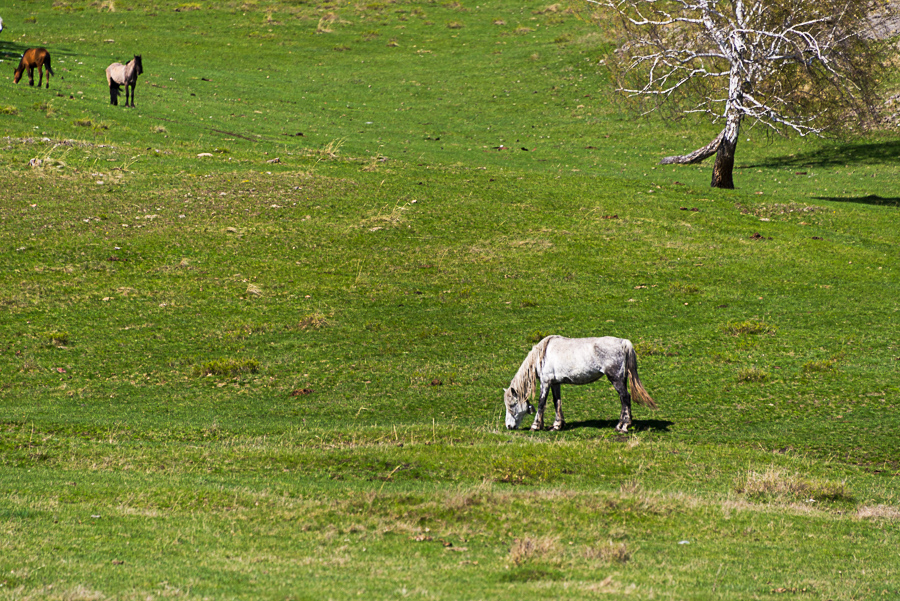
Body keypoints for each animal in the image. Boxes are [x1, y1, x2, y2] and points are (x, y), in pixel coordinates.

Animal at [502, 336, 656, 434]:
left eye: (512, 405)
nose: (509, 426)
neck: (542, 354)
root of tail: (623, 342)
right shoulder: (555, 383)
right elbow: (557, 402)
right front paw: (557, 425)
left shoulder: (545, 383)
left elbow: (541, 403)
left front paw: (535, 426)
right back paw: (620, 425)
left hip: (615, 379)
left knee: (625, 398)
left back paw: (623, 426)